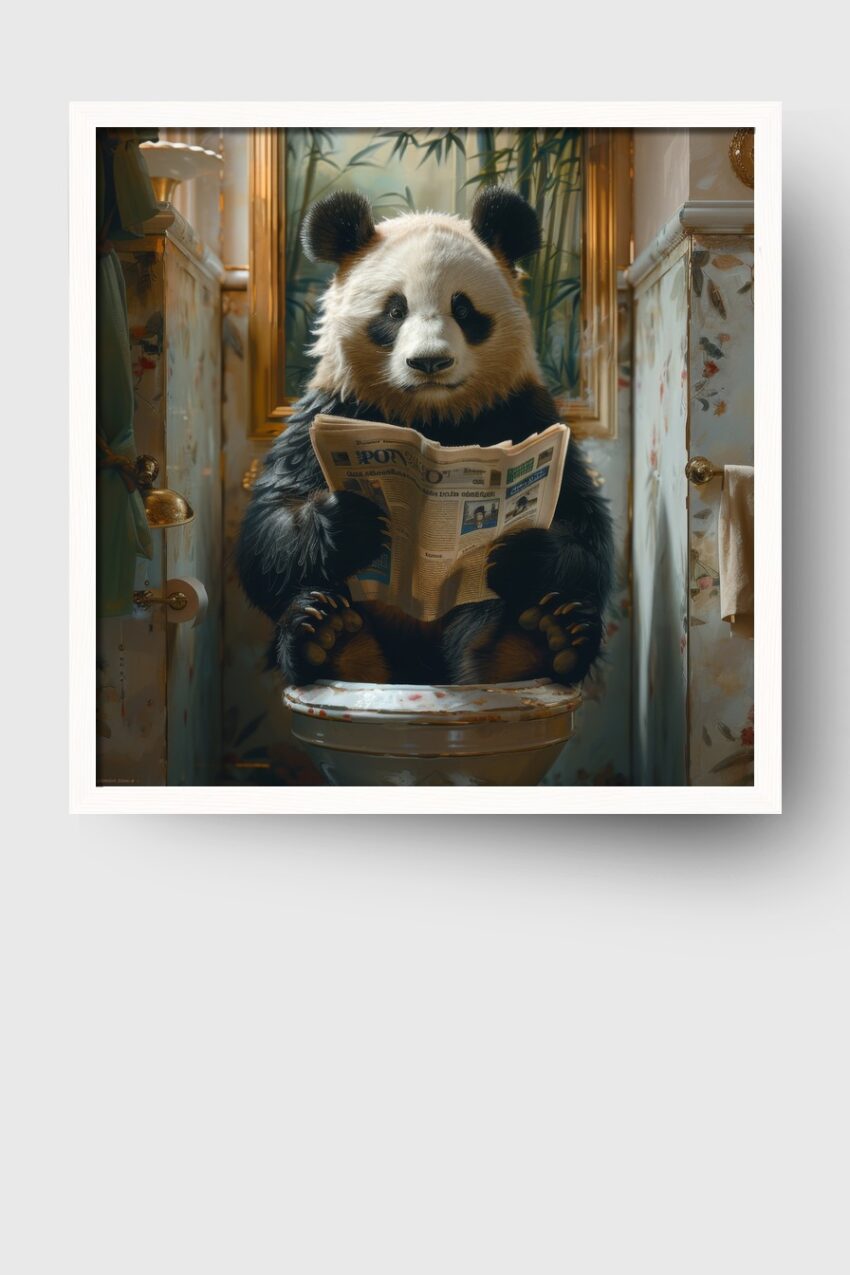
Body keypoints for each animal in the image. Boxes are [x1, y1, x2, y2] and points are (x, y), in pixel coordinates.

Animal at [237, 186, 614, 688]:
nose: (430, 362)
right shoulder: (333, 411)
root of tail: (419, 671)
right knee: (320, 605)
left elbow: (584, 525)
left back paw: (534, 641)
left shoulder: (520, 413)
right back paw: (330, 639)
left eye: (464, 309)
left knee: (501, 613)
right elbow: (268, 529)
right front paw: (351, 519)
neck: (431, 416)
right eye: (395, 311)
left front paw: (523, 551)